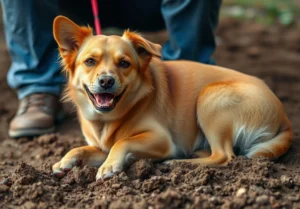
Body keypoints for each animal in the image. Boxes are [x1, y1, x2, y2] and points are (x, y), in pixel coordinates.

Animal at [52, 15, 292, 180]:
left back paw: (177, 163)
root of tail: (284, 115)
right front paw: (64, 161)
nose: (106, 81)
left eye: (124, 63)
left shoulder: (161, 139)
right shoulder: (101, 148)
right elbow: (81, 148)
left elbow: (122, 142)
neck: (107, 120)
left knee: (224, 156)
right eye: (90, 61)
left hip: (210, 97)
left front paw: (110, 166)